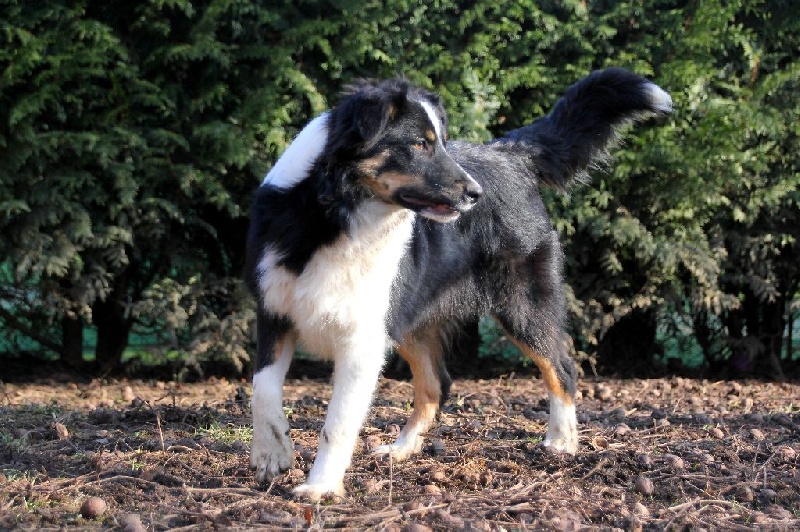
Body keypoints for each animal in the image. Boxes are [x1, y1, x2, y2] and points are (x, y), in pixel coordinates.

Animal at [247, 68, 672, 500]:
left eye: (441, 143)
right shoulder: (275, 313)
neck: (335, 219)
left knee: (562, 368)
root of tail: (509, 153)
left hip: (523, 308)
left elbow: (337, 422)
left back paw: (562, 441)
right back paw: (402, 449)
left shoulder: (363, 339)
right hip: (413, 320)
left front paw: (320, 486)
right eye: (420, 144)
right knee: (438, 384)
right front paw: (273, 453)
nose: (475, 194)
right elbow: (262, 389)